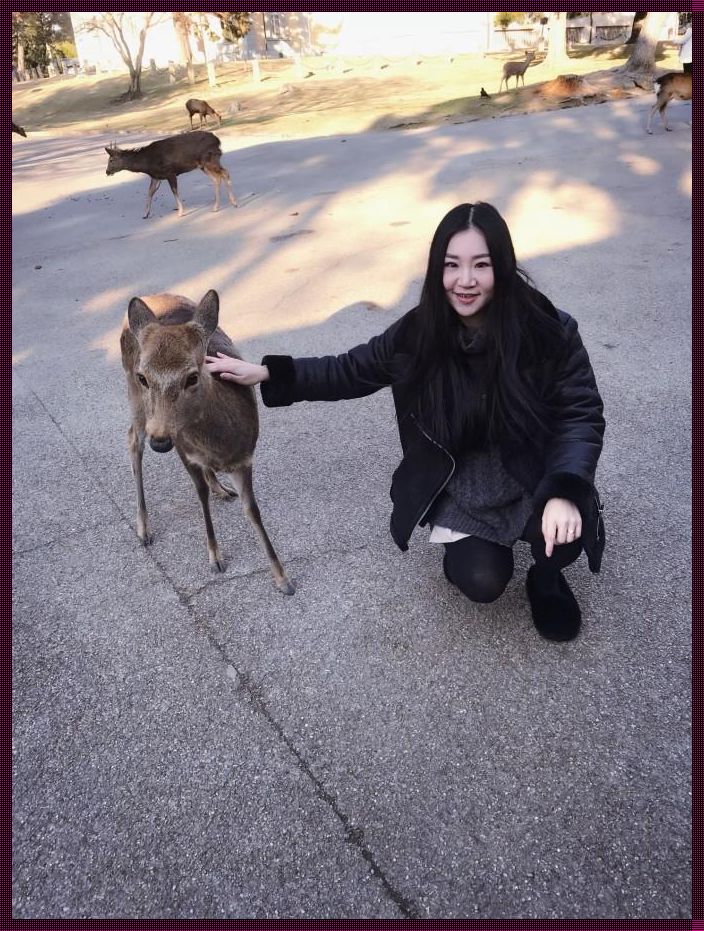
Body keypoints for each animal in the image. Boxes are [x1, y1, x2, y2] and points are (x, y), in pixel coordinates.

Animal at [103, 130, 238, 219]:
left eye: (111, 160)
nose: (107, 171)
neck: (147, 163)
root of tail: (218, 141)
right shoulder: (156, 176)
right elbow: (150, 192)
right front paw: (145, 213)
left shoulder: (170, 172)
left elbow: (174, 190)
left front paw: (180, 212)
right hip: (203, 165)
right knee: (217, 178)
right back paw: (216, 207)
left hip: (210, 160)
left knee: (225, 173)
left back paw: (234, 203)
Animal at [120, 288, 294, 596]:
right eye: (144, 377)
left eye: (192, 376)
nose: (160, 441)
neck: (220, 445)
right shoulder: (183, 450)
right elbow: (200, 495)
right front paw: (215, 557)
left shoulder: (245, 456)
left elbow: (252, 510)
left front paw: (283, 578)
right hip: (136, 402)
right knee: (132, 440)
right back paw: (144, 528)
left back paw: (220, 488)